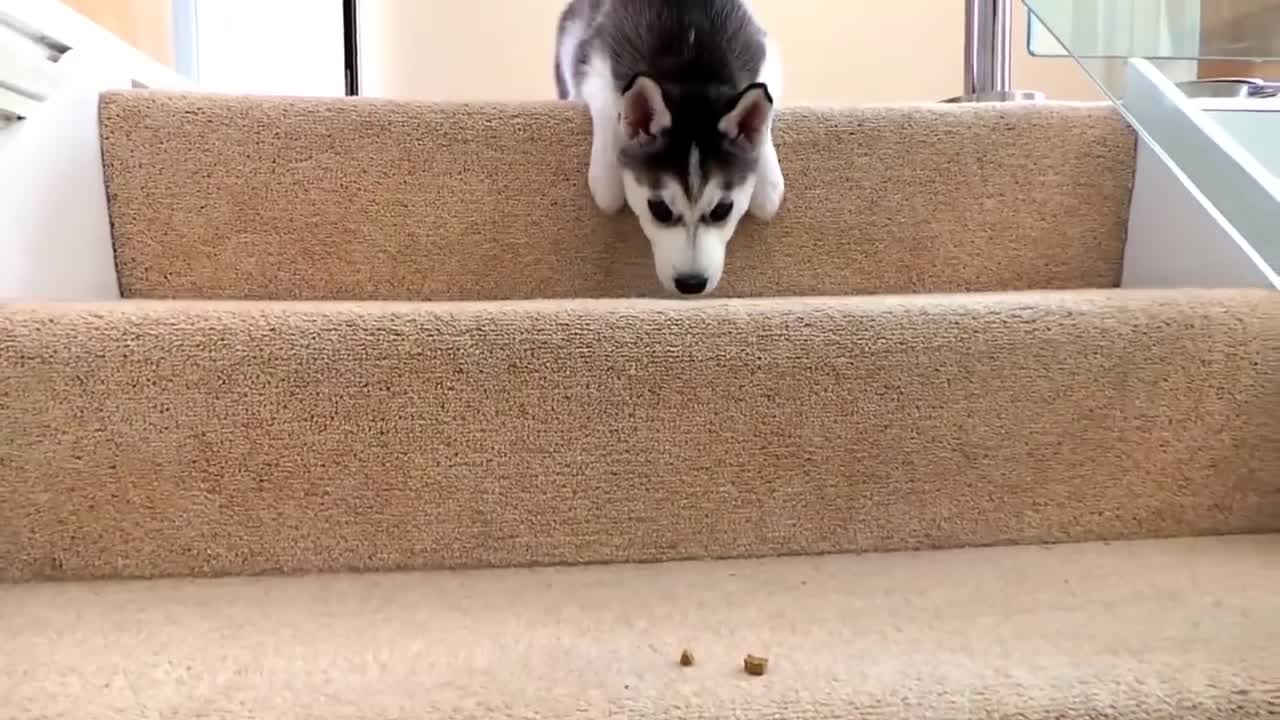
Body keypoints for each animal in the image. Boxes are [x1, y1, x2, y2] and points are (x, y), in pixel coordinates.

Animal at [555, 0, 783, 295]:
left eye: (722, 210)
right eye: (660, 210)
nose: (691, 284)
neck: (691, 71)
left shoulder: (761, 52)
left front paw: (768, 179)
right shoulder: (594, 56)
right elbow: (608, 190)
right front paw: (607, 170)